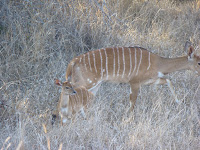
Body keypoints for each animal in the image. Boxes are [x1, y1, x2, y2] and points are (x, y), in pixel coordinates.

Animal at [65, 41, 199, 113]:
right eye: (199, 62)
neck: (158, 63)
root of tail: (73, 62)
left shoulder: (151, 80)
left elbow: (168, 80)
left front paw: (179, 102)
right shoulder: (134, 82)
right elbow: (132, 102)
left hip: (94, 85)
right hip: (86, 82)